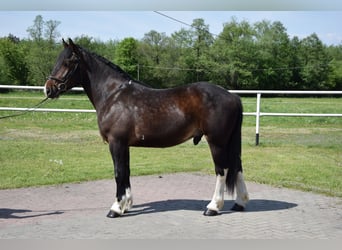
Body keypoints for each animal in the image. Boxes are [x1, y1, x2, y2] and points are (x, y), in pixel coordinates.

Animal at [44, 38, 248, 217]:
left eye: (68, 62)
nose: (48, 88)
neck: (113, 95)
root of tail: (233, 96)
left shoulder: (116, 142)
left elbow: (118, 173)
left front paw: (115, 208)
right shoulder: (124, 145)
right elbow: (126, 172)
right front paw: (126, 204)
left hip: (217, 142)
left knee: (222, 170)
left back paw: (213, 207)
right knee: (237, 167)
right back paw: (240, 203)